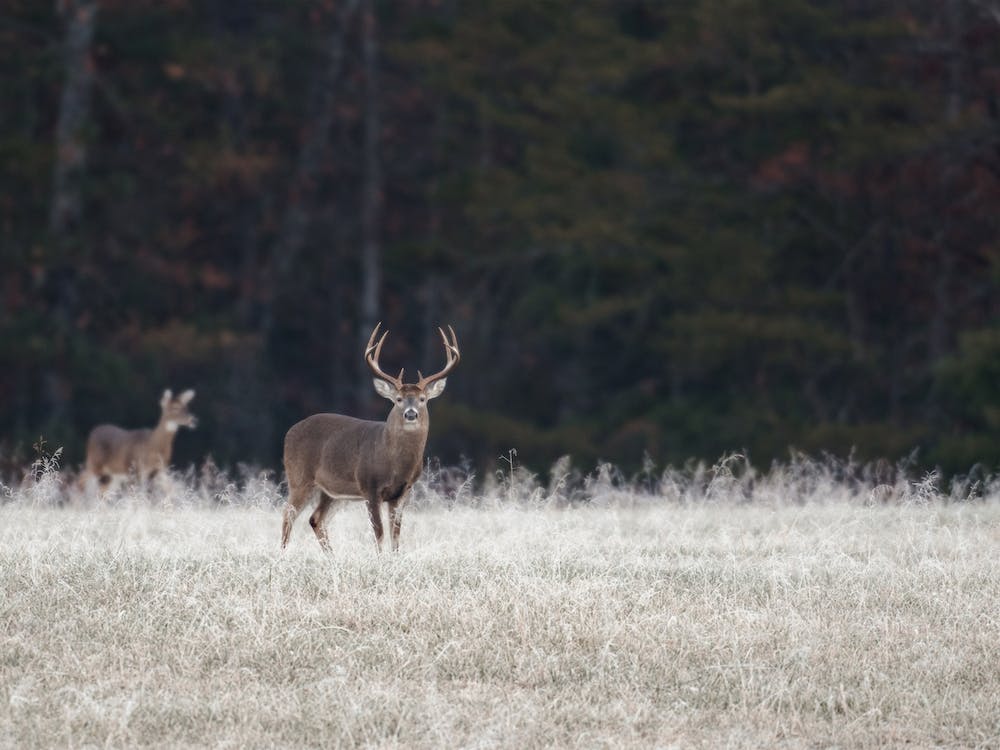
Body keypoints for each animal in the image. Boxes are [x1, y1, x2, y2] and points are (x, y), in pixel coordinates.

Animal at [281, 323, 459, 552]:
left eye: (422, 399)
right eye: (398, 399)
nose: (411, 414)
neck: (394, 463)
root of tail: (289, 432)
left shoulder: (403, 492)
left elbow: (396, 536)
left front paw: (395, 557)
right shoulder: (370, 486)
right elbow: (379, 533)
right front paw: (380, 558)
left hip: (332, 491)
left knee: (316, 519)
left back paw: (332, 558)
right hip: (299, 477)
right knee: (288, 515)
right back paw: (282, 554)